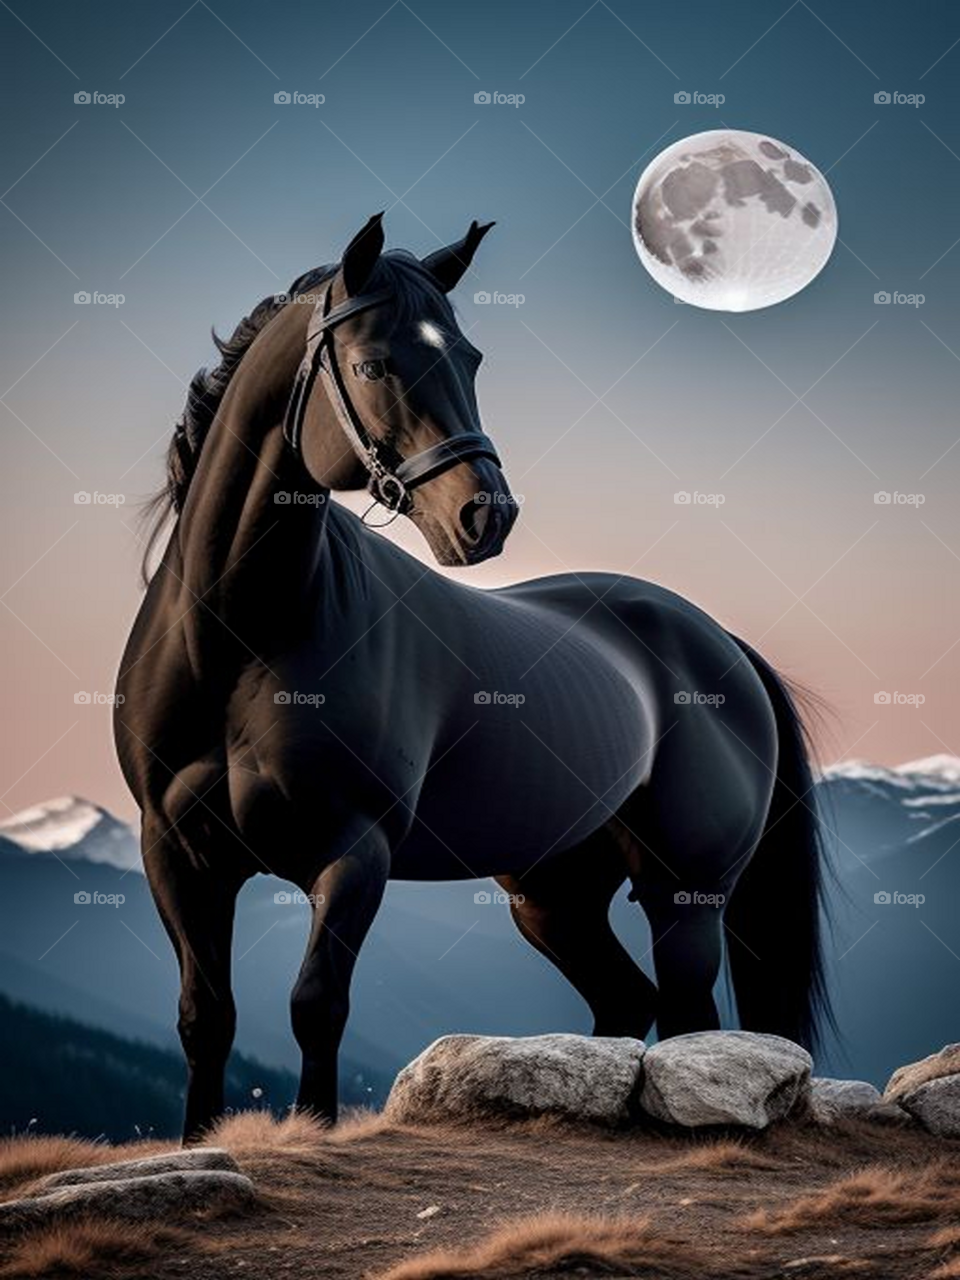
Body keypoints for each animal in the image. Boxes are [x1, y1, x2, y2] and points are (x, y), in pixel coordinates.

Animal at [116, 213, 832, 1143]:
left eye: (470, 358)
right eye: (373, 364)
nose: (485, 514)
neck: (238, 638)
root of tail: (722, 647)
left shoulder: (354, 855)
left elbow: (317, 1006)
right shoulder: (178, 853)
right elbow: (207, 1016)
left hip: (684, 895)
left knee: (685, 1017)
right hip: (554, 897)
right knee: (624, 1002)